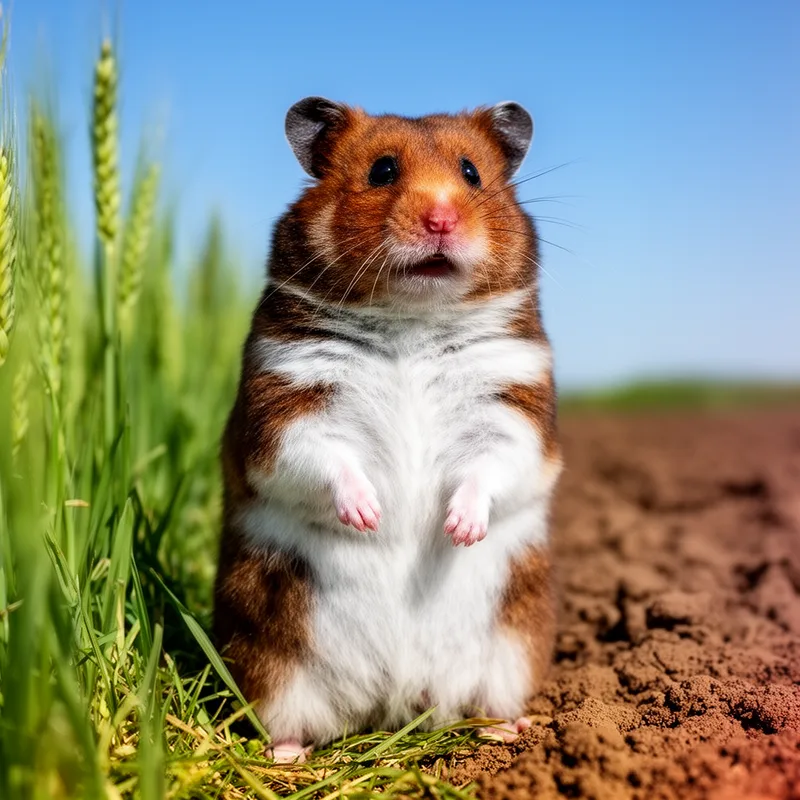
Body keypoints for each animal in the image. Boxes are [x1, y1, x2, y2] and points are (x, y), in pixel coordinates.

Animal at [213, 96, 562, 764]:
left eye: (471, 173)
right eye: (382, 171)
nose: (441, 218)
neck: (413, 316)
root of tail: (392, 704)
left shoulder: (515, 407)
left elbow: (492, 466)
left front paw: (458, 530)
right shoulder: (285, 402)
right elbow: (322, 458)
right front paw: (370, 516)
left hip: (512, 653)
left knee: (491, 703)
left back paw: (507, 731)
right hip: (270, 664)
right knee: (285, 719)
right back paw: (287, 756)